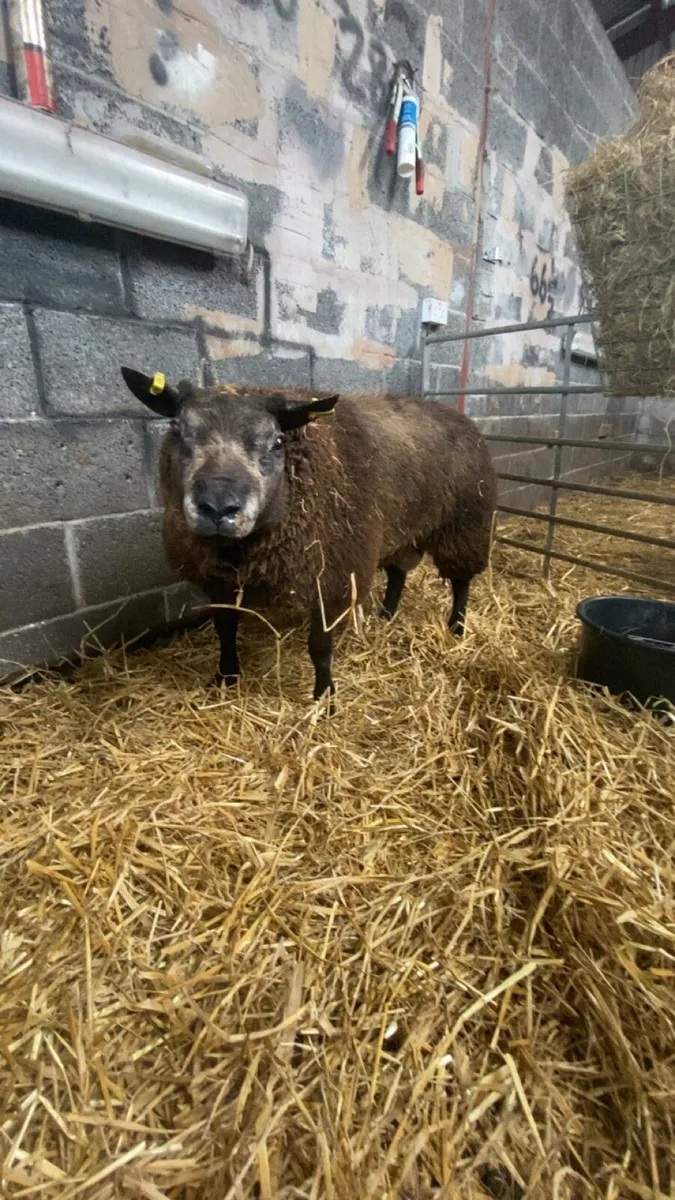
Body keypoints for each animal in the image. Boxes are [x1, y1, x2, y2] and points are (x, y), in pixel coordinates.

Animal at [120, 369, 497, 701]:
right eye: (176, 430)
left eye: (277, 442)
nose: (217, 506)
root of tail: (455, 413)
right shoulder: (219, 582)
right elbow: (225, 631)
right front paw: (225, 677)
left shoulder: (333, 579)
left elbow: (320, 647)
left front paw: (324, 696)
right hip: (402, 530)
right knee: (397, 573)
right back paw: (387, 614)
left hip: (466, 524)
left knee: (461, 582)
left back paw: (457, 627)